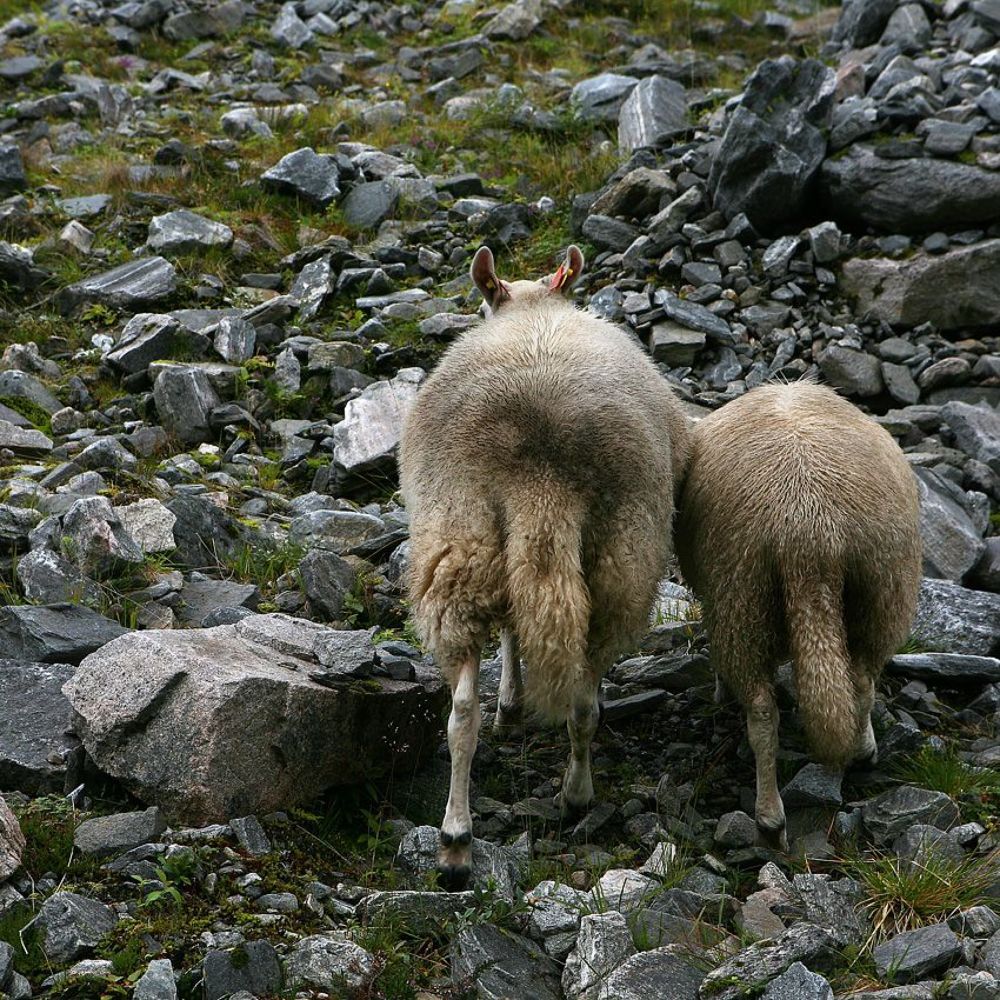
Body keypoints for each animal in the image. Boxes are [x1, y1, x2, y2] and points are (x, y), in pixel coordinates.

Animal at [399, 245, 692, 889]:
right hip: (616, 558)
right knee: (578, 700)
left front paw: (510, 702)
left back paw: (456, 839)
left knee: (462, 710)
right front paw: (514, 702)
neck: (533, 308)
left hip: (463, 537)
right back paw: (572, 796)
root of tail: (541, 471)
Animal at [675, 382, 921, 850]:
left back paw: (769, 818)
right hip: (882, 590)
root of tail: (810, 530)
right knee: (862, 680)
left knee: (761, 712)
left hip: (742, 599)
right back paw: (862, 751)